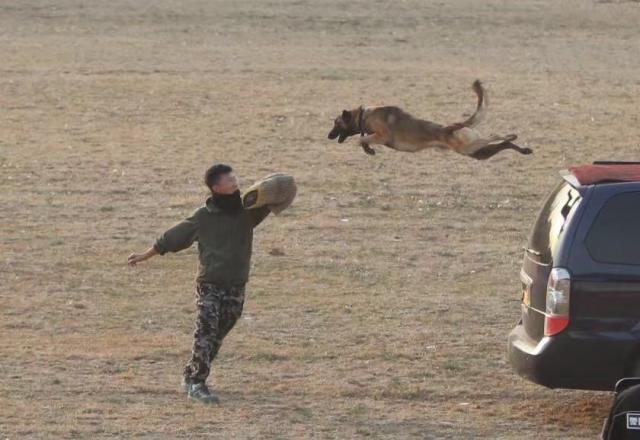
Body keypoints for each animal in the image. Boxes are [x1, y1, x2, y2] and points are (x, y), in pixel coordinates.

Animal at [328, 80, 532, 159]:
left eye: (336, 123)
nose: (328, 136)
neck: (365, 114)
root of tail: (452, 127)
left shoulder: (382, 135)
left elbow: (361, 139)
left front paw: (368, 149)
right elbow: (363, 139)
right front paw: (368, 149)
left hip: (469, 147)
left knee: (495, 135)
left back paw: (510, 135)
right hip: (477, 152)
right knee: (502, 144)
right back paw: (523, 149)